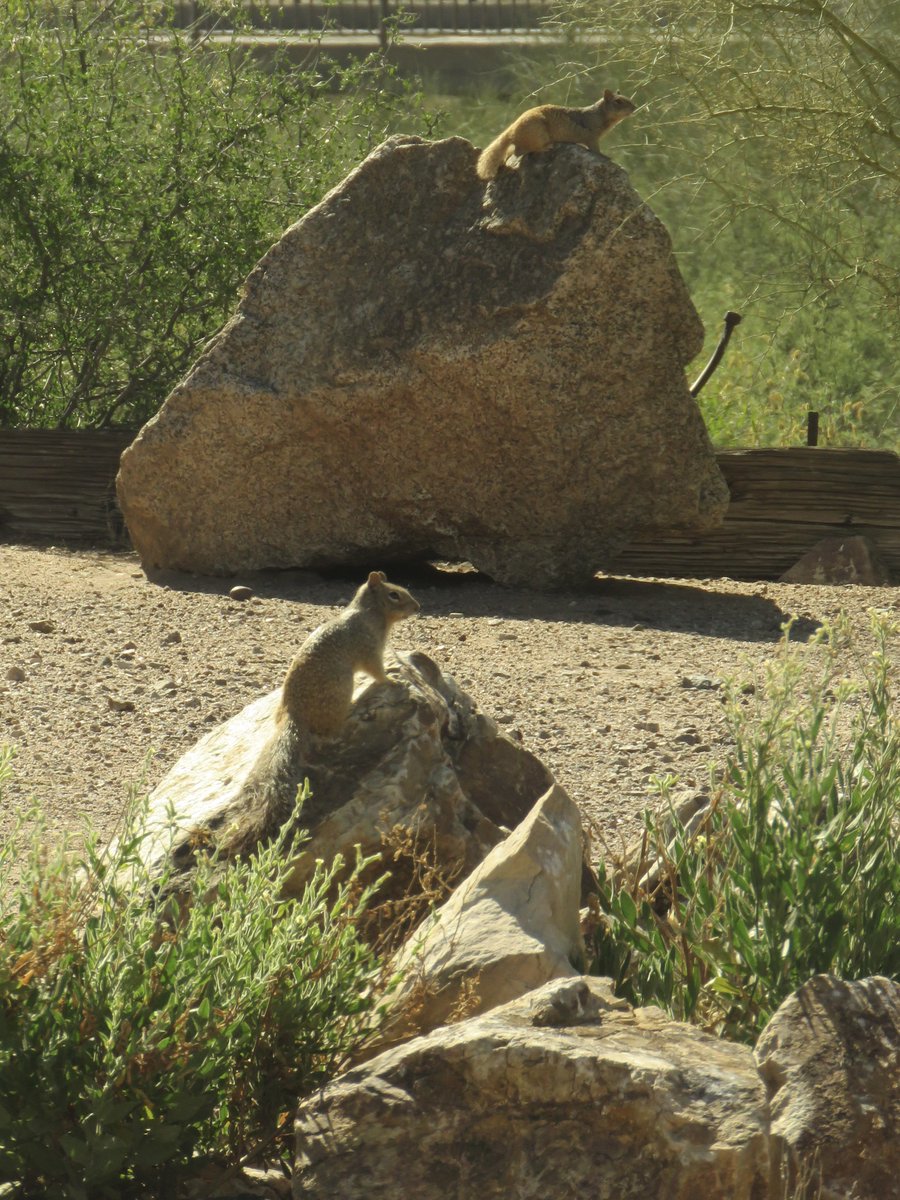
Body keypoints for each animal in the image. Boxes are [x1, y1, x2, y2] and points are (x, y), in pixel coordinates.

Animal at [476, 89, 636, 181]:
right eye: (618, 101)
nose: (634, 107)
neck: (600, 114)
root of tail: (511, 131)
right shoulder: (591, 135)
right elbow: (595, 149)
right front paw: (606, 157)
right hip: (537, 132)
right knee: (522, 151)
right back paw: (546, 147)